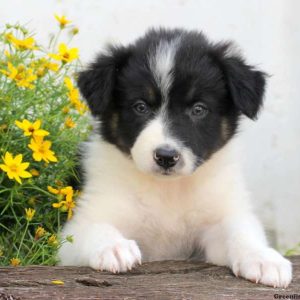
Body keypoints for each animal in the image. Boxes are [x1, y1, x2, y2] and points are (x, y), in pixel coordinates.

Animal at [58, 28, 290, 288]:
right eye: (140, 107)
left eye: (198, 109)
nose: (166, 157)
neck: (167, 190)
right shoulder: (78, 227)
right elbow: (93, 227)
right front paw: (113, 247)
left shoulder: (216, 221)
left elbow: (241, 230)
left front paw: (263, 258)